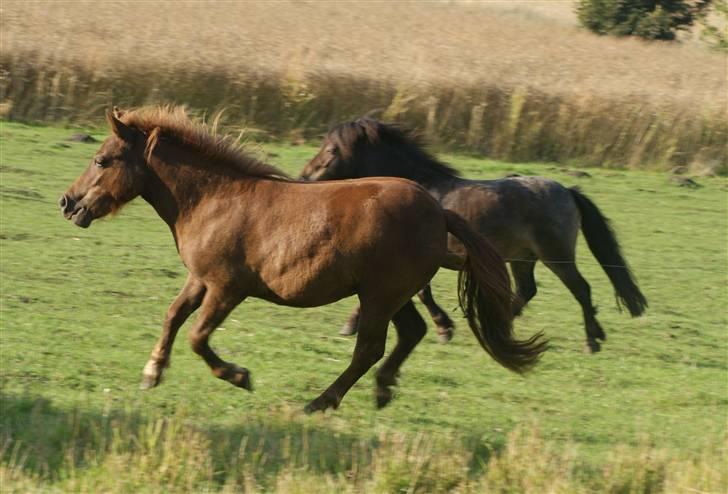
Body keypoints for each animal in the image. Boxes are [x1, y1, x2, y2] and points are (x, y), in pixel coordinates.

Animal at [58, 107, 544, 412]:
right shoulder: (200, 279)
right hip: (392, 295)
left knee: (370, 348)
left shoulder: (227, 288)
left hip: (379, 297)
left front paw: (238, 375)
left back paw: (321, 402)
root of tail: (438, 211)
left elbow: (197, 335)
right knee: (411, 334)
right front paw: (152, 372)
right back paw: (382, 390)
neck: (214, 199)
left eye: (101, 160)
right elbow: (173, 317)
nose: (68, 203)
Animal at [298, 117, 644, 354]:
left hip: (555, 255)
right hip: (523, 258)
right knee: (527, 290)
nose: (304, 176)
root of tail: (568, 191)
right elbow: (416, 293)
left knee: (581, 289)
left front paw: (442, 328)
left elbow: (418, 294)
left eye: (332, 149)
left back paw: (591, 340)